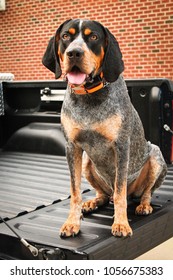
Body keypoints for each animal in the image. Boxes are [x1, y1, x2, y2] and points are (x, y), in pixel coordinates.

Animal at [42, 18, 168, 236]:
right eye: (66, 36)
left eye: (93, 37)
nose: (74, 53)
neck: (89, 96)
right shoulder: (72, 147)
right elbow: (75, 191)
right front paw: (72, 222)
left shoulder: (121, 146)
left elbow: (119, 192)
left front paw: (121, 223)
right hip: (86, 161)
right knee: (104, 194)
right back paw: (92, 202)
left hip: (156, 156)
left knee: (143, 192)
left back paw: (143, 205)